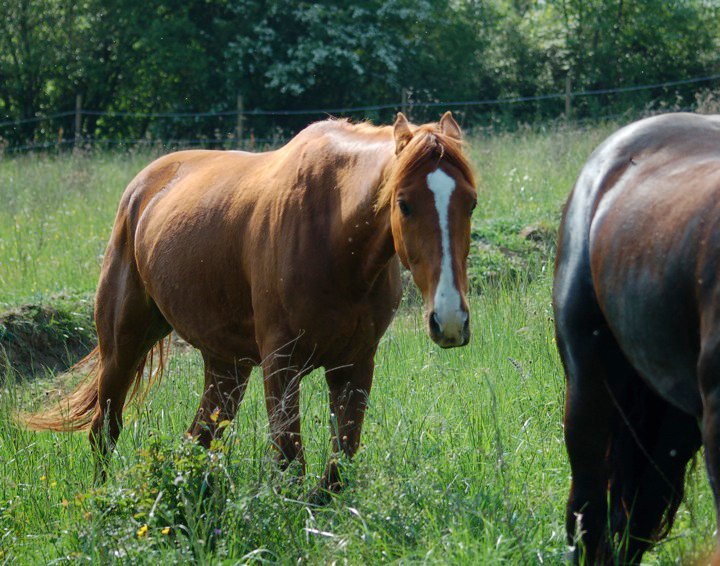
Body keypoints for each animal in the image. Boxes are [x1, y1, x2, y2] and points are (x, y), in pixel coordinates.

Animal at [25, 113, 478, 494]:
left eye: (470, 202)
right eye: (403, 203)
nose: (449, 320)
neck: (333, 233)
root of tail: (141, 188)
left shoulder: (355, 364)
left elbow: (336, 470)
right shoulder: (281, 363)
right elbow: (290, 463)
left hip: (226, 364)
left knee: (198, 438)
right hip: (123, 344)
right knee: (105, 429)